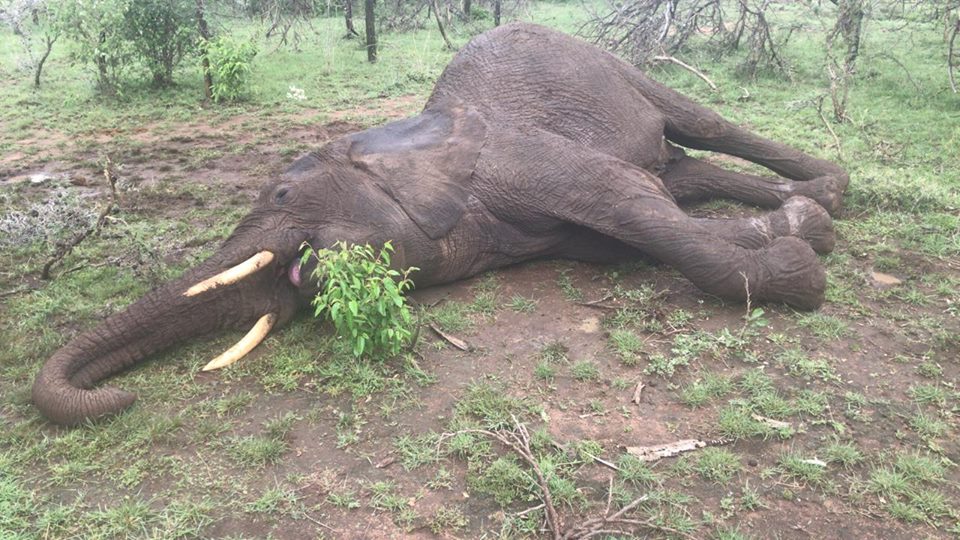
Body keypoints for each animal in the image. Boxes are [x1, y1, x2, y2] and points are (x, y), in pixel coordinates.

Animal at [32, 23, 847, 426]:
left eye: (284, 193)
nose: (124, 400)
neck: (404, 142)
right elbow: (630, 233)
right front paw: (793, 231)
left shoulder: (521, 159)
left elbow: (632, 207)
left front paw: (802, 267)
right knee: (688, 169)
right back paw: (807, 203)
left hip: (611, 63)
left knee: (701, 125)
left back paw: (831, 191)